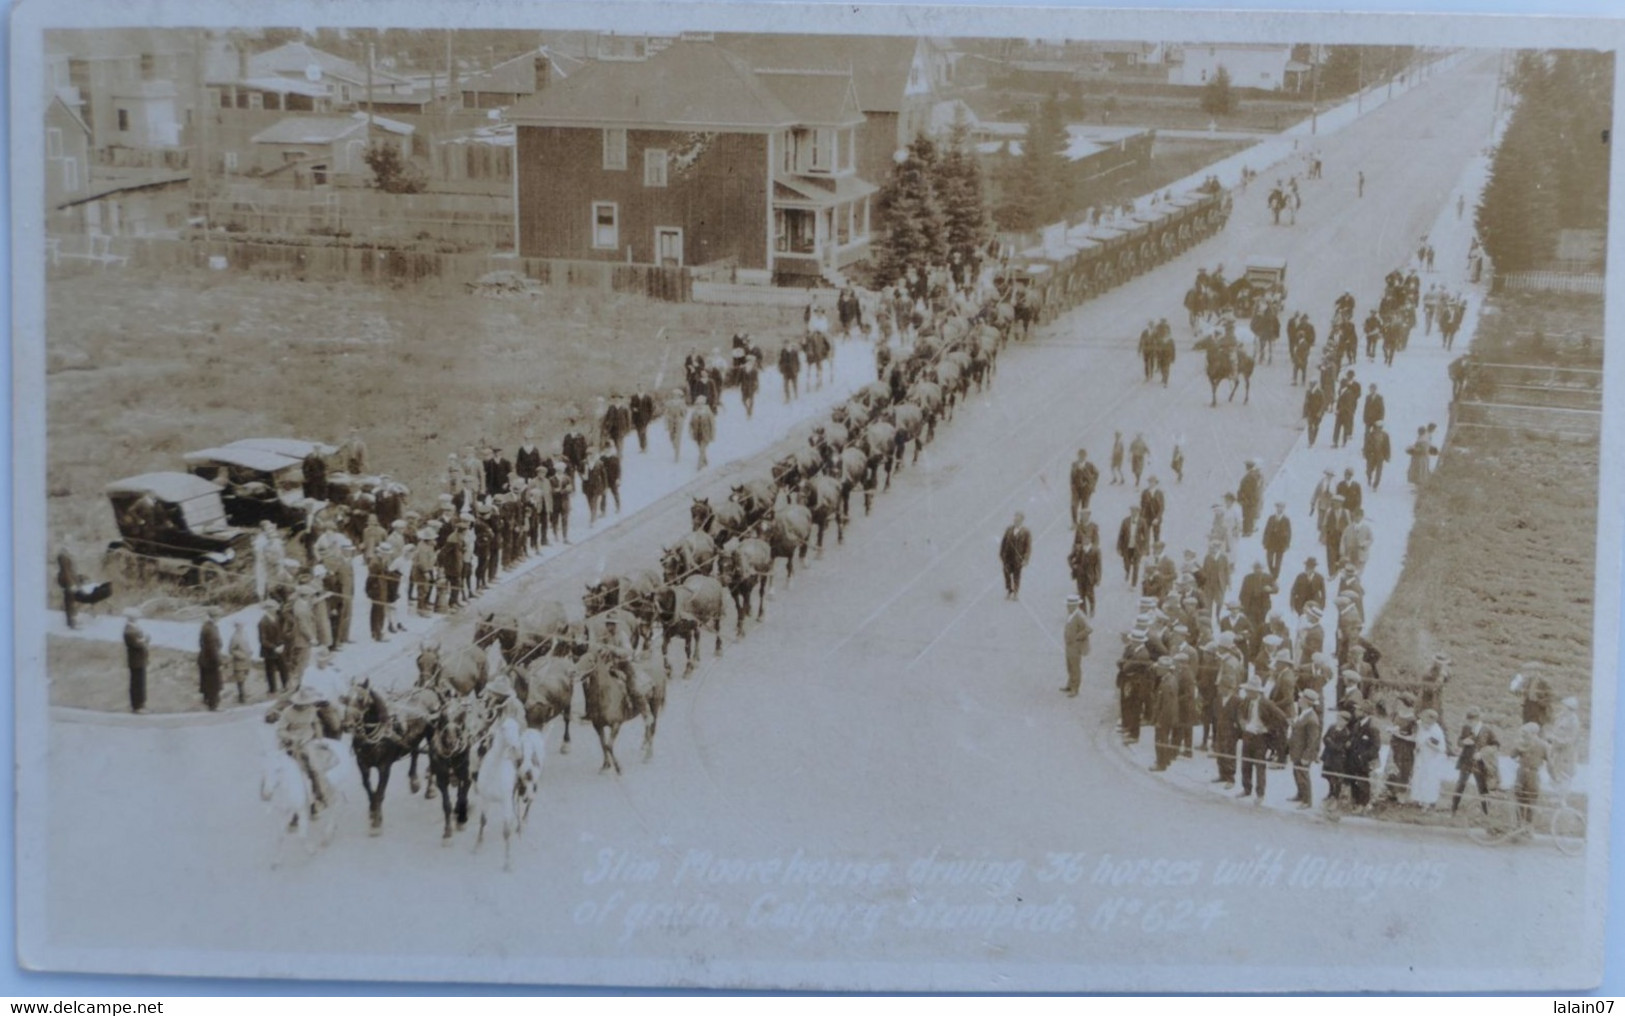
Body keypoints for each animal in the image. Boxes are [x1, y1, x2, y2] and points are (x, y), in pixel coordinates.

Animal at [342, 682, 432, 832]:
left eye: (361, 699)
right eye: (345, 699)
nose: (346, 725)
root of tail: (428, 691)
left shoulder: (384, 766)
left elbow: (380, 791)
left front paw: (376, 819)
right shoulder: (362, 764)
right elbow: (368, 788)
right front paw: (372, 812)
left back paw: (430, 789)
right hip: (414, 738)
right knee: (415, 753)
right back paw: (414, 782)